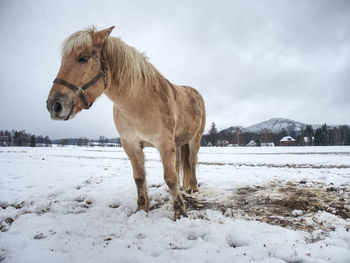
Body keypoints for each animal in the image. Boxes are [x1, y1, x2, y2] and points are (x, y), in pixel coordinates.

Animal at [45, 26, 205, 221]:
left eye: (82, 58)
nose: (54, 105)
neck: (139, 103)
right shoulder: (131, 144)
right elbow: (140, 178)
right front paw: (142, 209)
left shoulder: (164, 144)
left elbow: (170, 178)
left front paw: (180, 212)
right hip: (178, 143)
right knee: (179, 164)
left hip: (195, 139)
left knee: (192, 160)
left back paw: (193, 188)